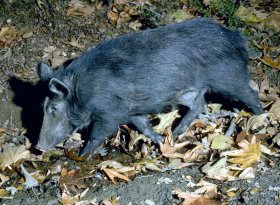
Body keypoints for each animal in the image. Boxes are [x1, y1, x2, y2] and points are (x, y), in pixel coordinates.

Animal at [35, 17, 262, 156]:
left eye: (54, 108)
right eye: (42, 107)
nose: (38, 147)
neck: (80, 91)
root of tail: (235, 36)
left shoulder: (110, 111)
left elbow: (97, 133)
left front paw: (82, 155)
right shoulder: (129, 109)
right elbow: (142, 124)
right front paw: (159, 139)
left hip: (228, 77)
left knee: (252, 93)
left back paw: (260, 119)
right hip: (187, 90)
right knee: (199, 103)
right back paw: (175, 133)